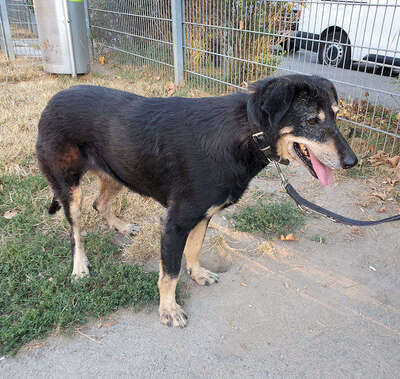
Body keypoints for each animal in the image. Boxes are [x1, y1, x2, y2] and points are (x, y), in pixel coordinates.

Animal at [36, 74, 358, 326]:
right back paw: (80, 267)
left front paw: (198, 273)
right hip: (70, 189)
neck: (246, 132)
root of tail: (52, 100)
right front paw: (168, 309)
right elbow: (170, 272)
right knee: (76, 231)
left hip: (116, 173)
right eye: (312, 121)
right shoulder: (175, 223)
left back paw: (122, 226)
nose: (352, 162)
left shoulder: (204, 214)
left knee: (100, 204)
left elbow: (194, 249)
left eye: (335, 116)